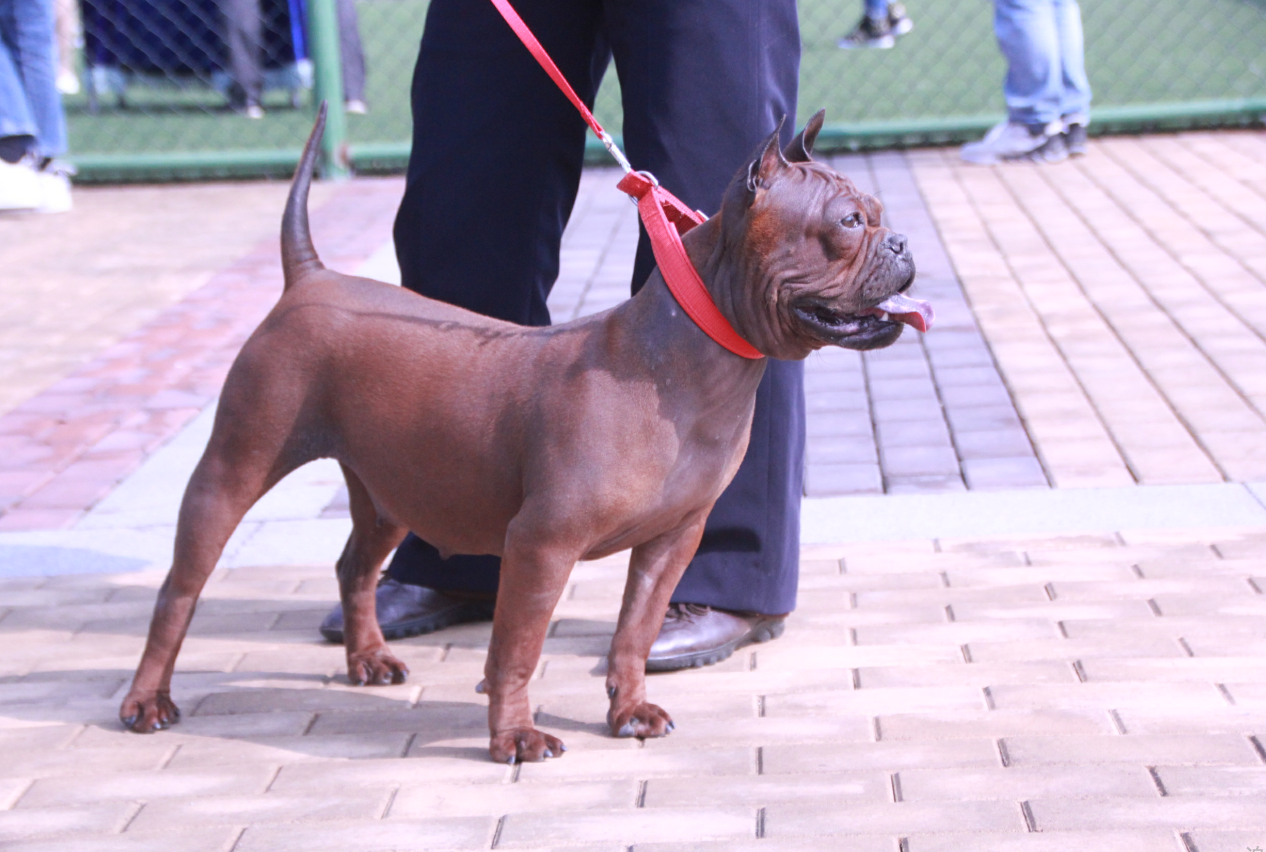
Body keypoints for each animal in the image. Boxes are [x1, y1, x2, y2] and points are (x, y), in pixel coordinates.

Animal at [120, 108, 931, 764]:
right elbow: (516, 647)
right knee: (178, 592)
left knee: (354, 567)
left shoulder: (671, 542)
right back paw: (146, 700)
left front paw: (628, 710)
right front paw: (513, 736)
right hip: (232, 471)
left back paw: (369, 660)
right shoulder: (542, 545)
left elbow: (633, 634)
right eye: (847, 222)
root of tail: (310, 278)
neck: (688, 360)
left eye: (878, 213)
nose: (900, 240)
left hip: (391, 489)